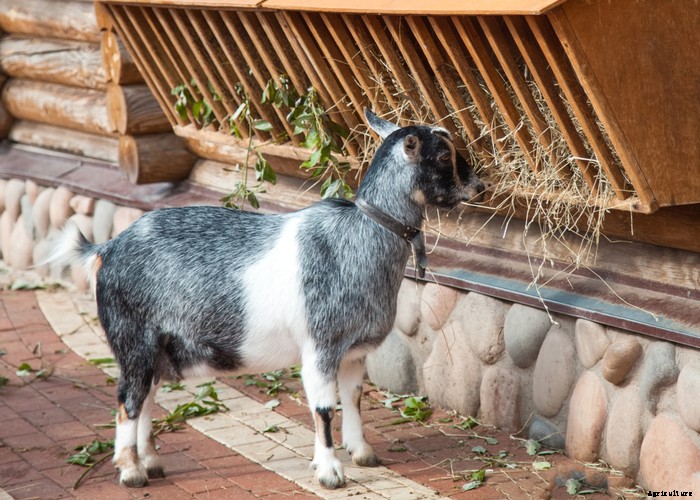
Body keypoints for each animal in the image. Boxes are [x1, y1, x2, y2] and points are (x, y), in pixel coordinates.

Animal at [55, 110, 485, 489]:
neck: (360, 236)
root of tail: (106, 248)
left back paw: (152, 462)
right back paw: (131, 471)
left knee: (146, 397)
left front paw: (362, 453)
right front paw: (330, 473)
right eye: (443, 154)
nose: (479, 186)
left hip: (158, 348)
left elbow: (355, 399)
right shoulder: (319, 348)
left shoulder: (354, 352)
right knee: (127, 401)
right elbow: (324, 409)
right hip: (133, 340)